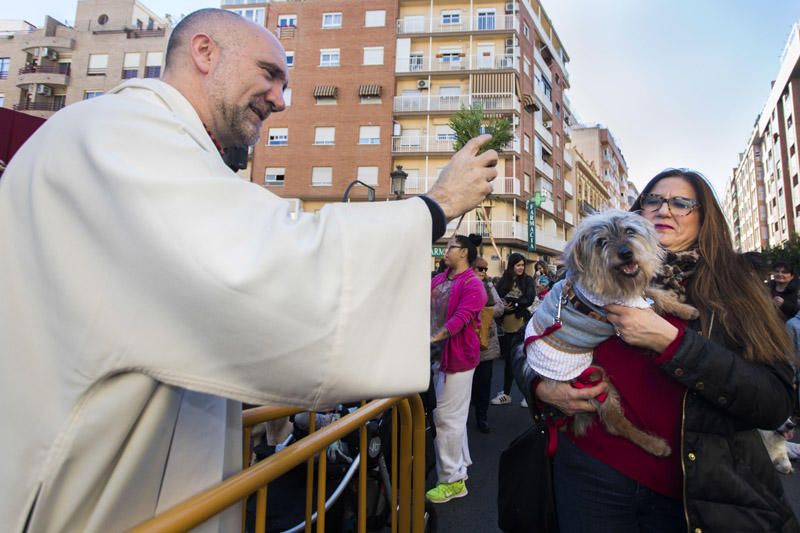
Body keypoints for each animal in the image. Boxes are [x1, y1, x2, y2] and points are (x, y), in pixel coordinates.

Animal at [524, 207, 692, 454]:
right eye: (601, 242)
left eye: (629, 231)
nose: (625, 252)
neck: (615, 283)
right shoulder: (624, 302)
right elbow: (651, 297)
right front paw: (686, 308)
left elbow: (653, 292)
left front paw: (682, 306)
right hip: (596, 379)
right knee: (614, 422)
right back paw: (653, 444)